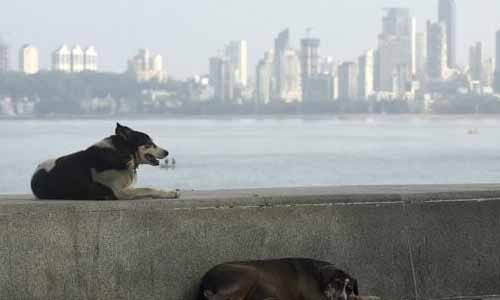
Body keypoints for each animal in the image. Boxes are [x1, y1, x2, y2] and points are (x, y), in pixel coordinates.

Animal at [31, 123, 180, 200]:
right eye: (149, 143)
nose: (167, 152)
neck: (122, 152)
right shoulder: (119, 191)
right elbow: (146, 189)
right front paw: (170, 193)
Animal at [197, 258, 358, 300]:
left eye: (349, 289)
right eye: (336, 283)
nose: (342, 299)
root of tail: (205, 279)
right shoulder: (315, 297)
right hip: (250, 272)